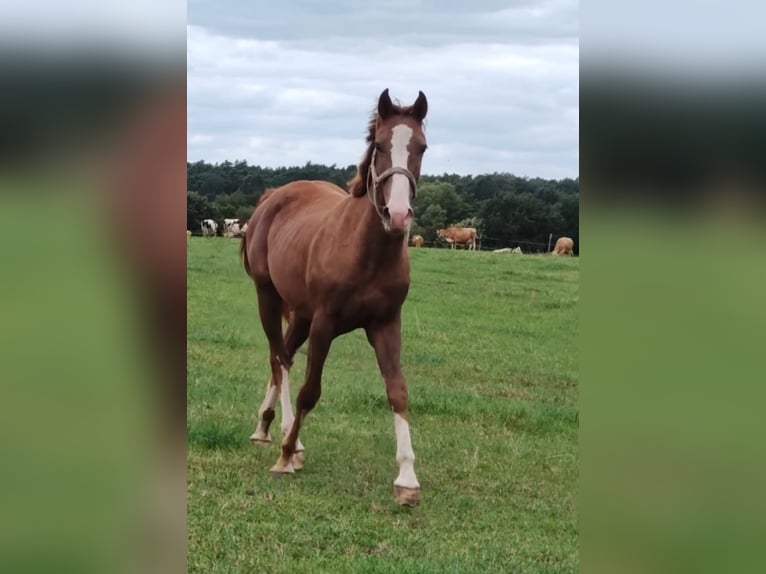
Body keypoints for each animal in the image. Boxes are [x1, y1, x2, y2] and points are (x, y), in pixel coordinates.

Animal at [243, 90, 428, 508]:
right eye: (380, 145)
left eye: (422, 147)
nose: (397, 215)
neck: (367, 252)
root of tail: (272, 197)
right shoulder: (325, 323)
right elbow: (311, 390)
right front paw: (286, 455)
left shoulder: (386, 324)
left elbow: (398, 392)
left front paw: (407, 478)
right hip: (268, 298)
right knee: (280, 359)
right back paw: (287, 441)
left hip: (301, 314)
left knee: (283, 356)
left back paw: (266, 424)